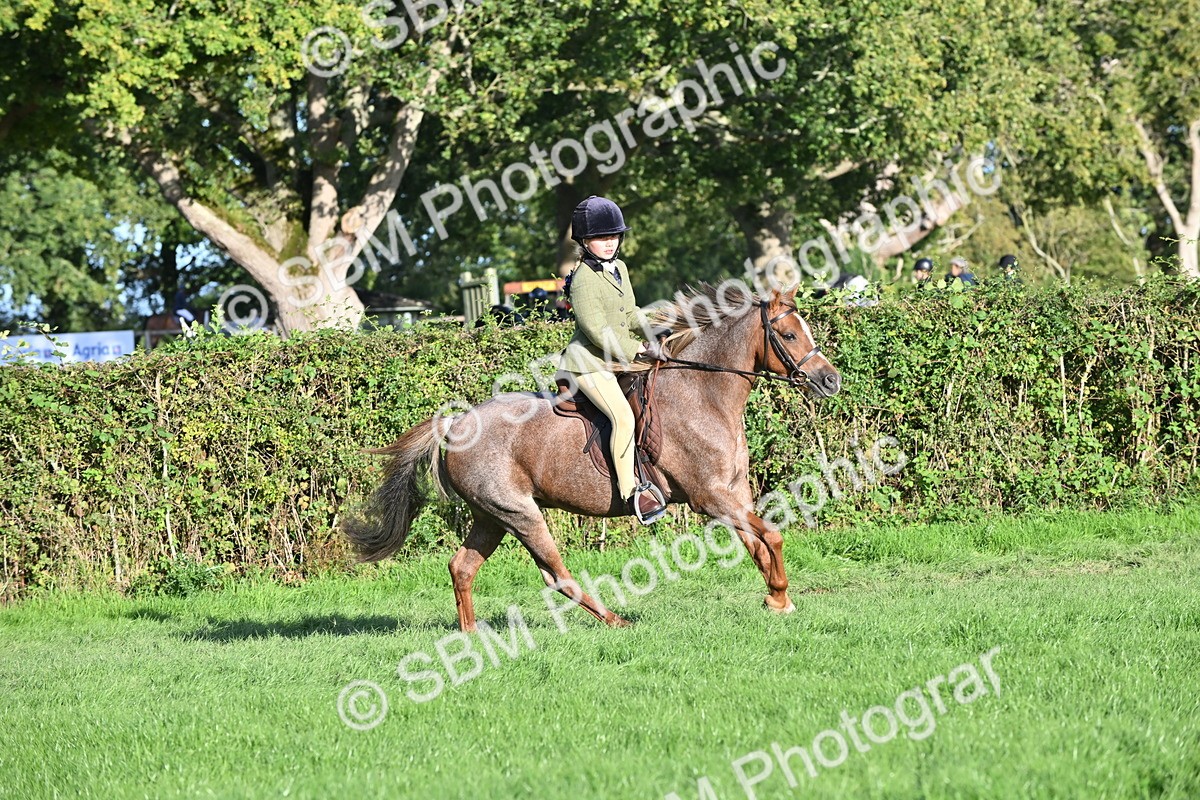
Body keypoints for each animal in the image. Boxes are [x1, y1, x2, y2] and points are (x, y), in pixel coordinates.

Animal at [343, 283, 842, 631]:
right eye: (788, 334)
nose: (831, 380)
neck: (704, 395)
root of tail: (456, 424)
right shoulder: (711, 497)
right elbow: (772, 536)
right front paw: (780, 596)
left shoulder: (733, 495)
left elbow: (758, 543)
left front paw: (776, 598)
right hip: (519, 513)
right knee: (555, 576)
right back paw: (616, 620)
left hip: (491, 516)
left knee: (462, 567)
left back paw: (470, 634)